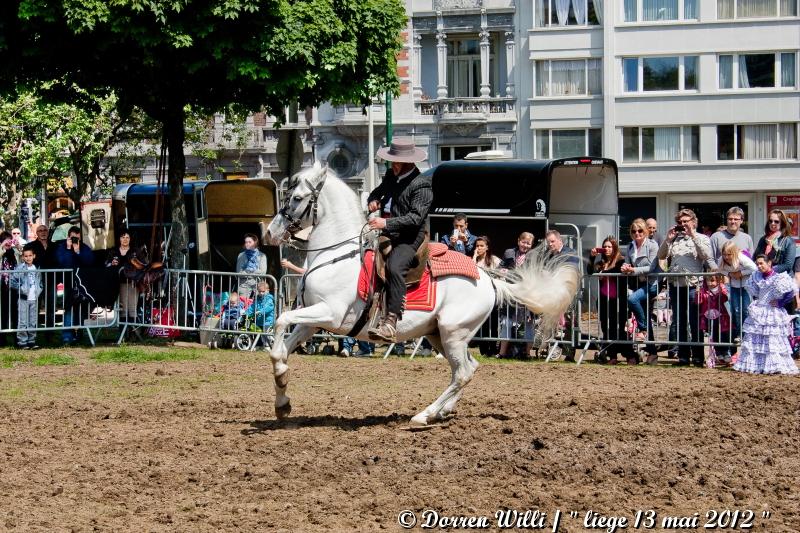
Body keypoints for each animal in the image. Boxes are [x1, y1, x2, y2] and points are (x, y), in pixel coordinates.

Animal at [266, 164, 580, 426]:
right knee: (468, 368)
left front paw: (281, 382)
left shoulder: (329, 314)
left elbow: (281, 320)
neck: (335, 255)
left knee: (463, 372)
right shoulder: (312, 322)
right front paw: (282, 398)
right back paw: (442, 411)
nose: (270, 232)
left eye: (297, 198)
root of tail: (489, 281)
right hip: (440, 334)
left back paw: (424, 415)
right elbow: (281, 346)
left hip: (453, 332)